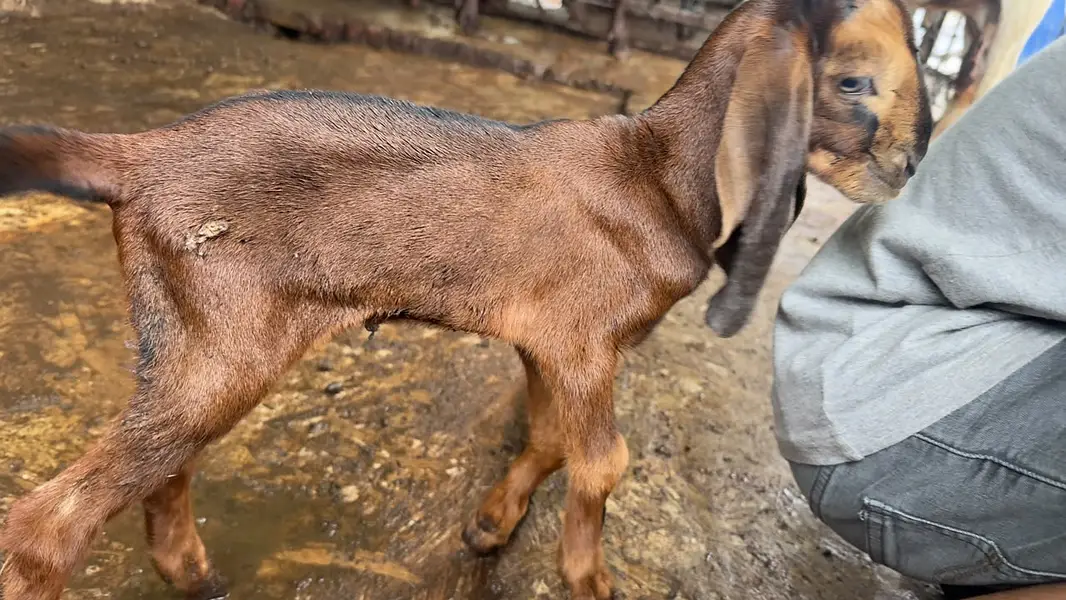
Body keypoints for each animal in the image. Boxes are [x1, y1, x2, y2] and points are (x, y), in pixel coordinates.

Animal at [0, 0, 931, 598]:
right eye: (853, 83)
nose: (911, 167)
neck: (659, 175)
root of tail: (136, 152)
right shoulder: (583, 342)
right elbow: (602, 461)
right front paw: (591, 579)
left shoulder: (546, 339)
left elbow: (549, 438)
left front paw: (490, 526)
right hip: (222, 336)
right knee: (53, 523)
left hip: (200, 339)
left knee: (164, 467)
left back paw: (194, 575)